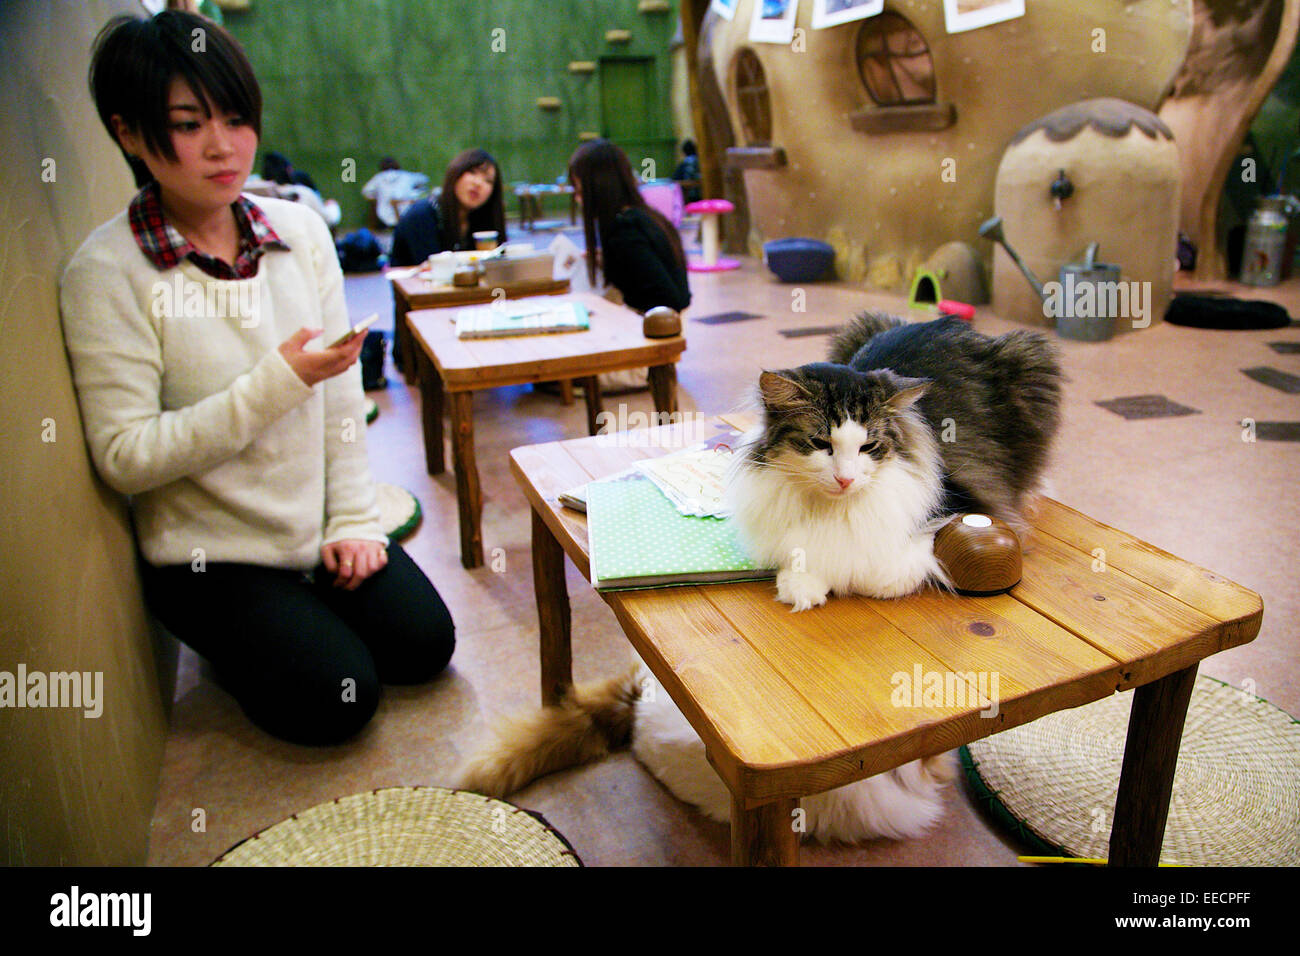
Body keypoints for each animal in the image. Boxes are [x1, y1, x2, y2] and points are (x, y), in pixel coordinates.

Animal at [728, 316, 1060, 613]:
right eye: (820, 444)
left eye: (868, 447)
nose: (845, 480)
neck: (833, 509)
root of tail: (945, 323)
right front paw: (802, 587)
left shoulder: (957, 503)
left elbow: (879, 572)